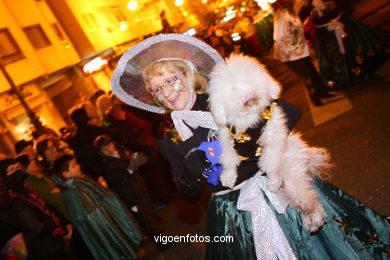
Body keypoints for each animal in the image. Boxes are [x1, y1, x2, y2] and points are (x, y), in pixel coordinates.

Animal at [209, 54, 330, 232]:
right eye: (233, 89)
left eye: (251, 81)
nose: (248, 94)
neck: (249, 120)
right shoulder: (227, 138)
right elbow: (229, 158)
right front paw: (228, 177)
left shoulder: (273, 136)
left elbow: (269, 163)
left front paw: (272, 182)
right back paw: (311, 222)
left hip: (292, 178)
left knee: (309, 198)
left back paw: (315, 220)